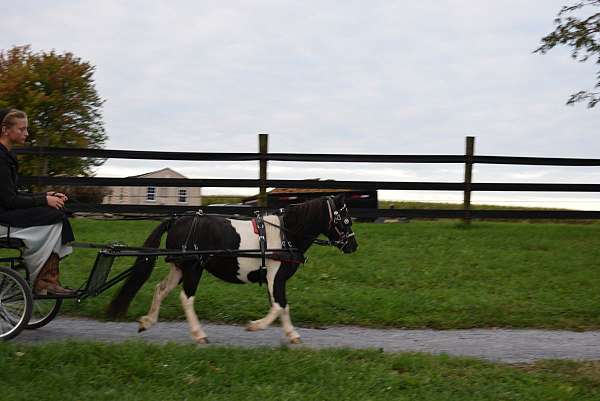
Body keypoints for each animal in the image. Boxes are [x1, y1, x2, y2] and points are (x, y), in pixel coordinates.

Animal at [106, 195, 358, 342]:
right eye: (345, 219)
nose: (353, 246)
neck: (284, 235)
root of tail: (177, 220)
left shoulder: (278, 279)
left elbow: (283, 306)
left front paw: (292, 335)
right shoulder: (275, 277)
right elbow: (278, 306)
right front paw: (255, 326)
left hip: (179, 267)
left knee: (161, 289)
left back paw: (147, 321)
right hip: (193, 268)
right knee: (186, 298)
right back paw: (199, 335)